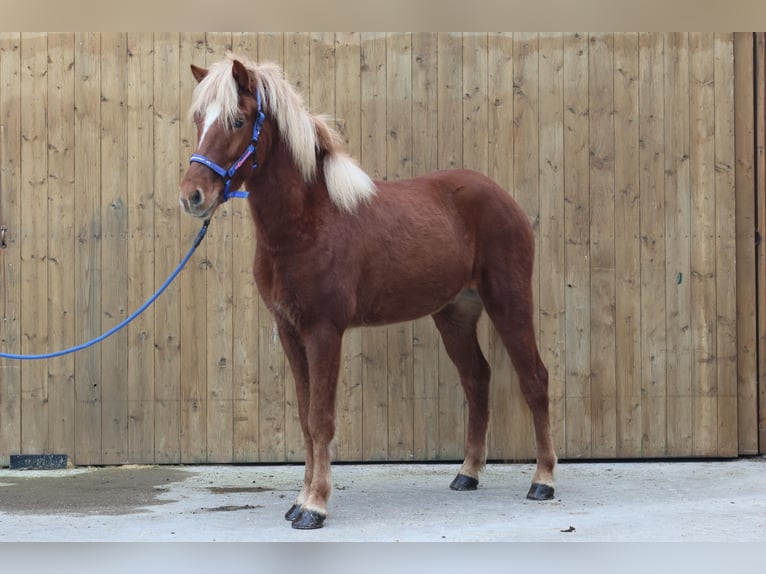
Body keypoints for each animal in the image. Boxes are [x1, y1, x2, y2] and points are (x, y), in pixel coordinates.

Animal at [183, 54, 560, 532]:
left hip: (509, 302)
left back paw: (543, 481)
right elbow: (305, 418)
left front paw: (314, 506)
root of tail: (503, 197)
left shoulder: (324, 332)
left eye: (237, 120)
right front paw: (300, 500)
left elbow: (320, 419)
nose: (193, 195)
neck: (308, 221)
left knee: (534, 379)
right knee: (477, 379)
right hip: (455, 315)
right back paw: (467, 474)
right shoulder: (290, 331)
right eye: (199, 119)